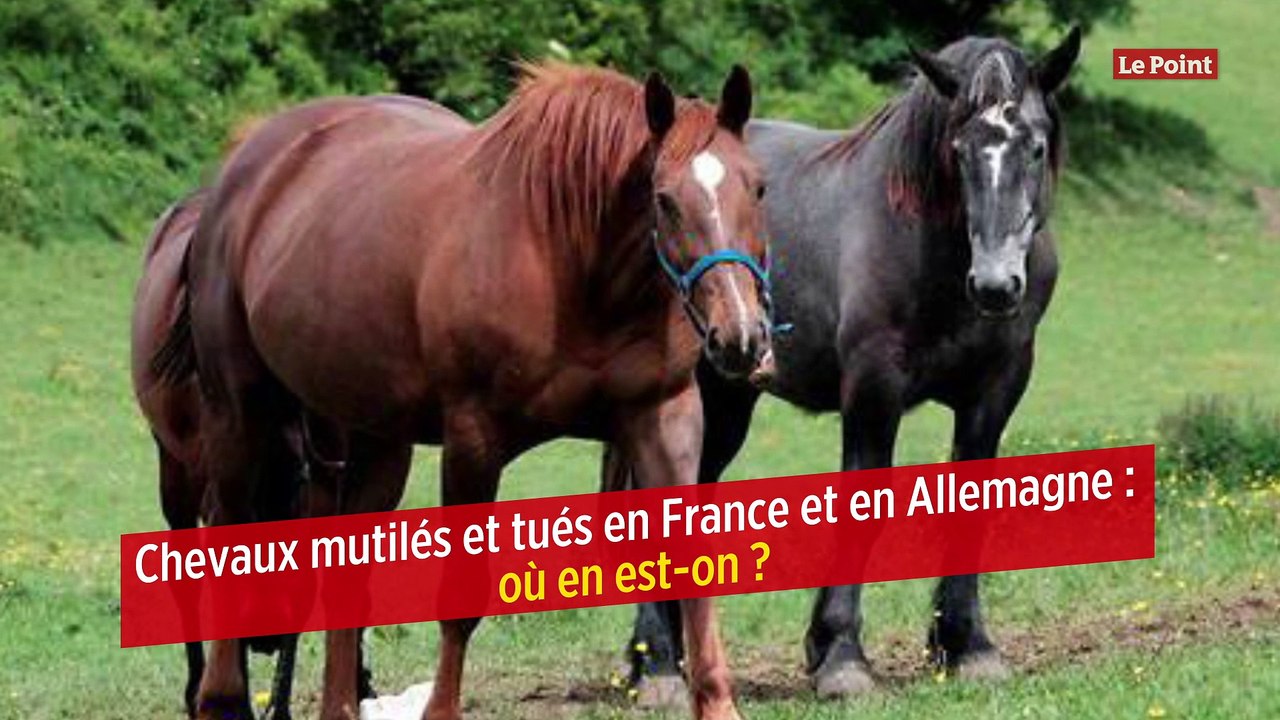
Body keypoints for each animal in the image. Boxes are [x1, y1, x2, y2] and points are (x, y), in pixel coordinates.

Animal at [611, 29, 1082, 703]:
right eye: (958, 148)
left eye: (1036, 146)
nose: (995, 285)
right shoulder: (873, 388)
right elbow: (862, 507)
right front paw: (840, 656)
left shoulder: (995, 390)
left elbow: (972, 504)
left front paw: (967, 645)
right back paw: (656, 668)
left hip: (729, 399)